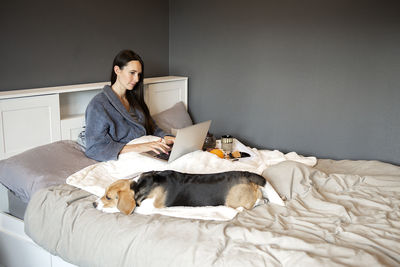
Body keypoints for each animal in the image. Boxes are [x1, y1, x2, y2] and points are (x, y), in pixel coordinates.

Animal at [94, 171, 266, 217]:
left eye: (108, 197)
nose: (93, 204)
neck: (138, 185)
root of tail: (246, 175)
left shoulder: (148, 208)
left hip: (236, 201)